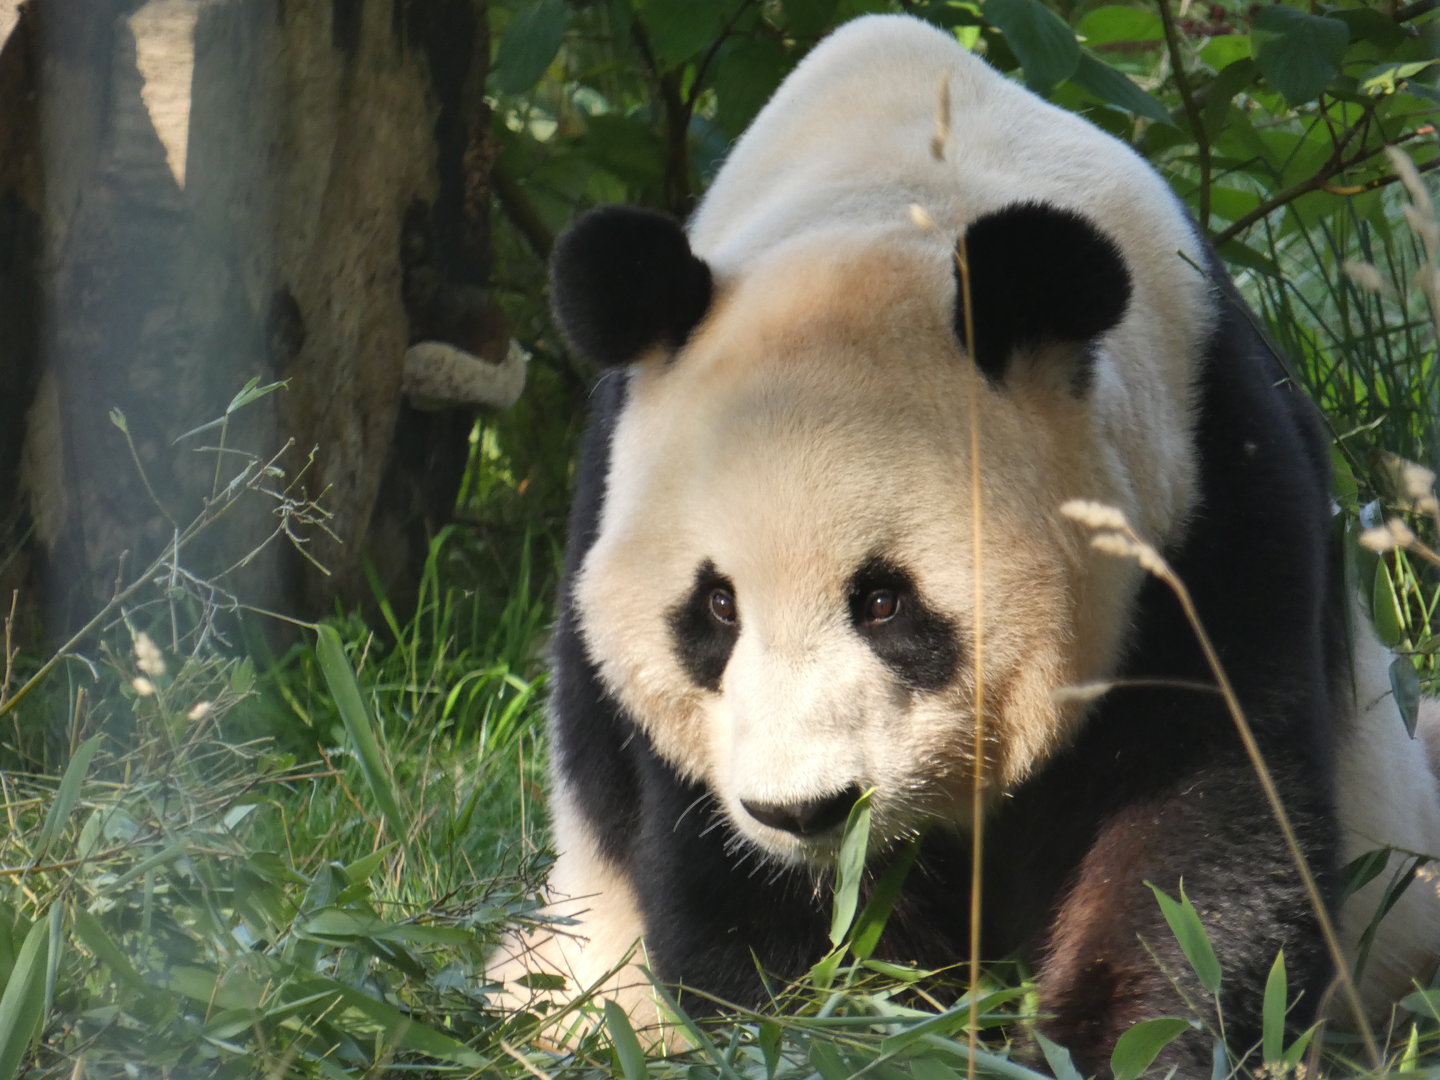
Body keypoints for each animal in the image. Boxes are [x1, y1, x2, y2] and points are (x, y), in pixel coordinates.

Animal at [491, 14, 1440, 1075]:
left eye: (884, 600)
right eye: (716, 608)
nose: (805, 811)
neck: (895, 183)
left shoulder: (1211, 504)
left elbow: (1196, 831)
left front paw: (1103, 1038)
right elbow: (737, 895)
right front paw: (857, 1024)